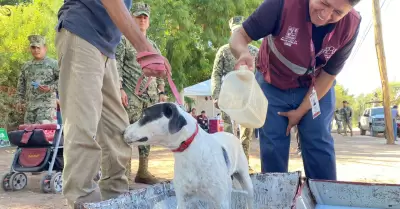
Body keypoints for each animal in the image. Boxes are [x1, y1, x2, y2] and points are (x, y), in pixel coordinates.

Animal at [123, 103, 253, 209]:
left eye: (144, 116)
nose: (122, 131)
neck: (189, 151)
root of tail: (230, 134)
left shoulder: (221, 201)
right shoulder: (182, 199)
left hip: (245, 181)